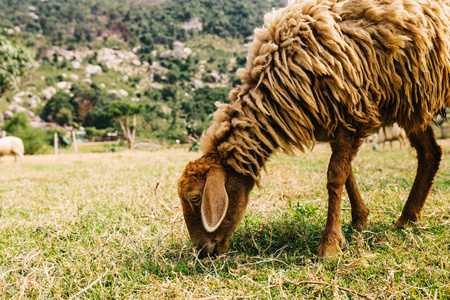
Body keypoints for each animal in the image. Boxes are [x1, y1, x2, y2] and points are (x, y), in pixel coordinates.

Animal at [178, 0, 448, 258]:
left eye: (195, 198)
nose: (200, 252)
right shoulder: (339, 122)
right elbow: (347, 174)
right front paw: (359, 220)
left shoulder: (351, 113)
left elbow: (336, 176)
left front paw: (329, 245)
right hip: (413, 100)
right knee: (430, 154)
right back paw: (407, 219)